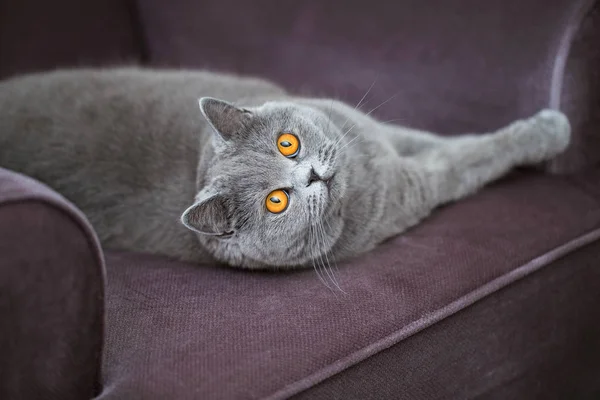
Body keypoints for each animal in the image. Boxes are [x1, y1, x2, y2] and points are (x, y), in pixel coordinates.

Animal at [0, 69, 572, 274]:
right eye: (277, 201)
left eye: (287, 142)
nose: (313, 176)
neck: (367, 169)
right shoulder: (410, 187)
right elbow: (466, 160)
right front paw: (552, 131)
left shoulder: (376, 133)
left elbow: (445, 142)